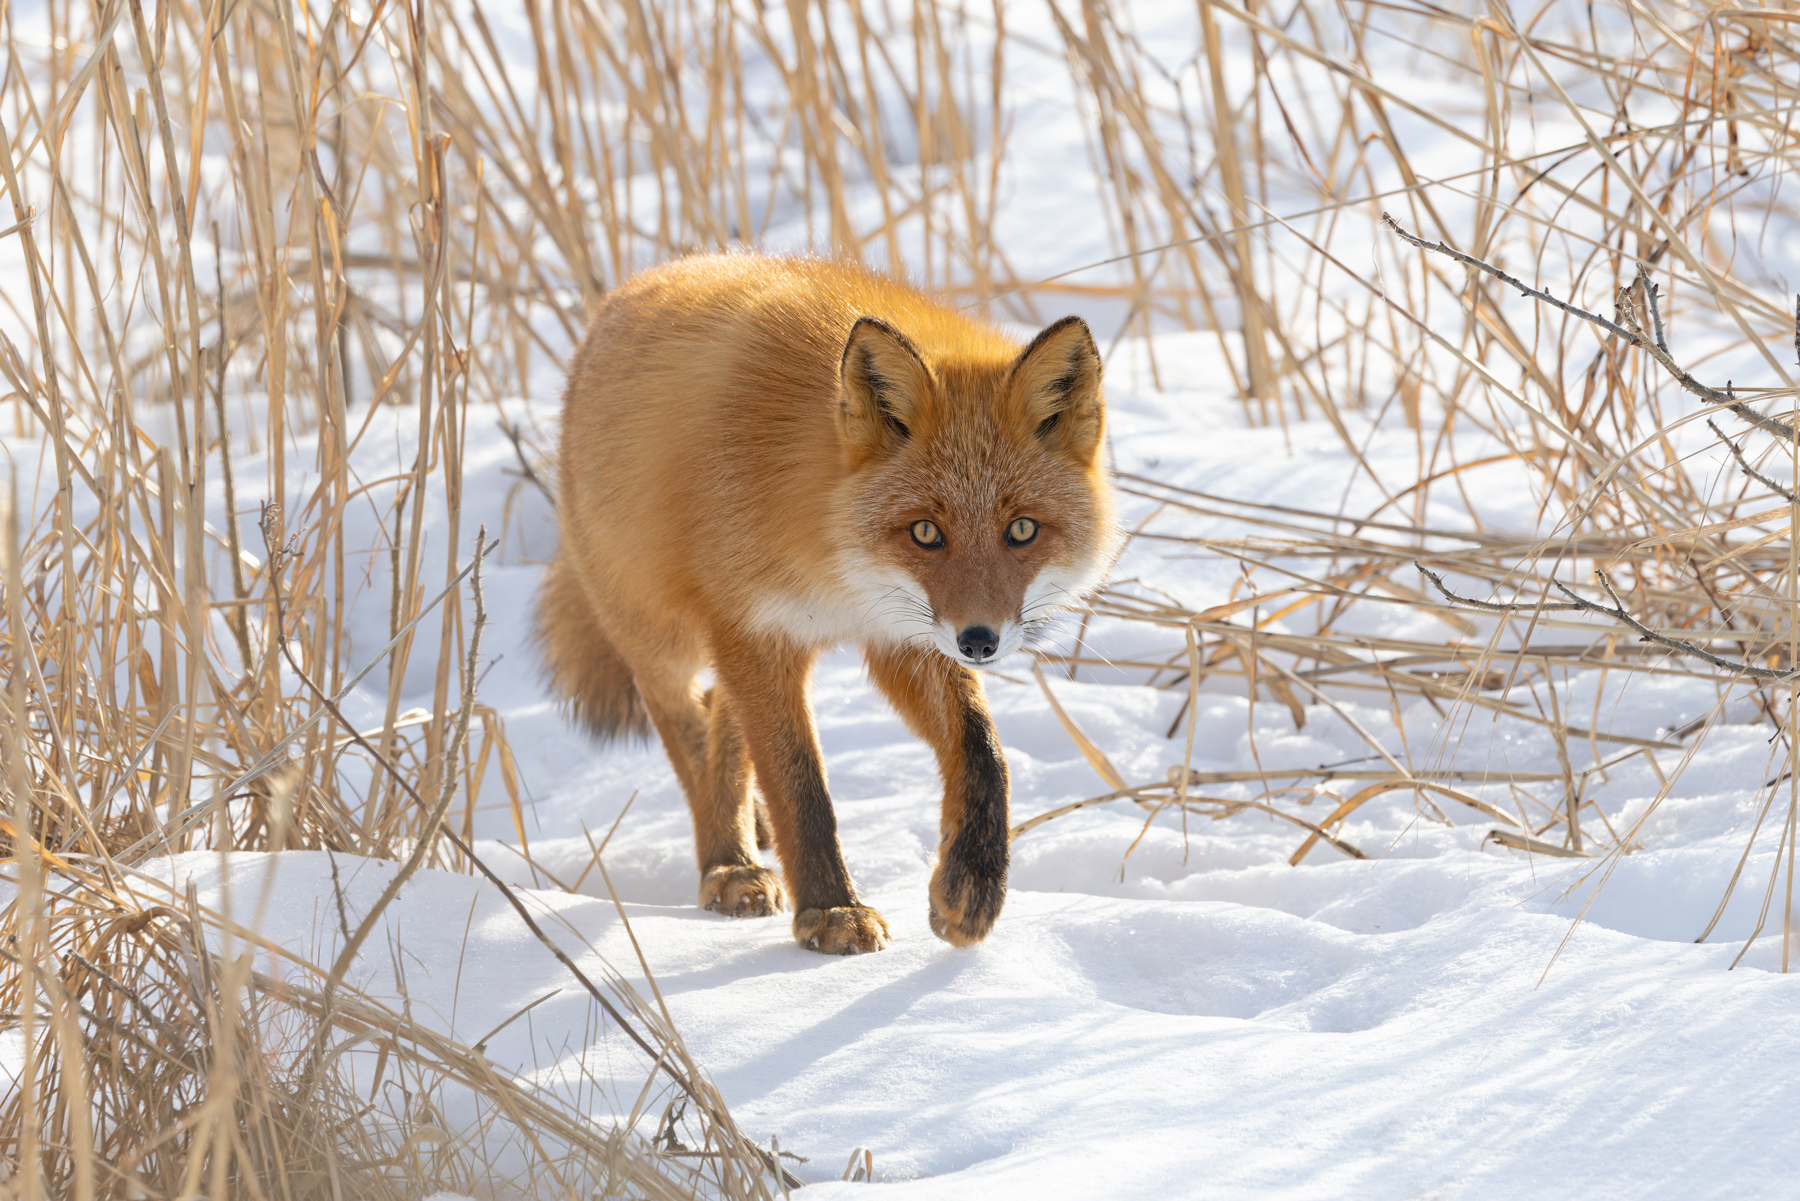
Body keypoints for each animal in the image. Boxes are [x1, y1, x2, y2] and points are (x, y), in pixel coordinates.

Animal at [536, 253, 1120, 954]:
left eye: (1023, 530)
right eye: (927, 532)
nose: (980, 642)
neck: (835, 562)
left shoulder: (899, 633)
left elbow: (983, 750)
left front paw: (970, 888)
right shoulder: (759, 631)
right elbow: (802, 788)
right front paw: (831, 910)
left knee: (723, 723)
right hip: (663, 639)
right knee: (689, 735)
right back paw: (728, 863)